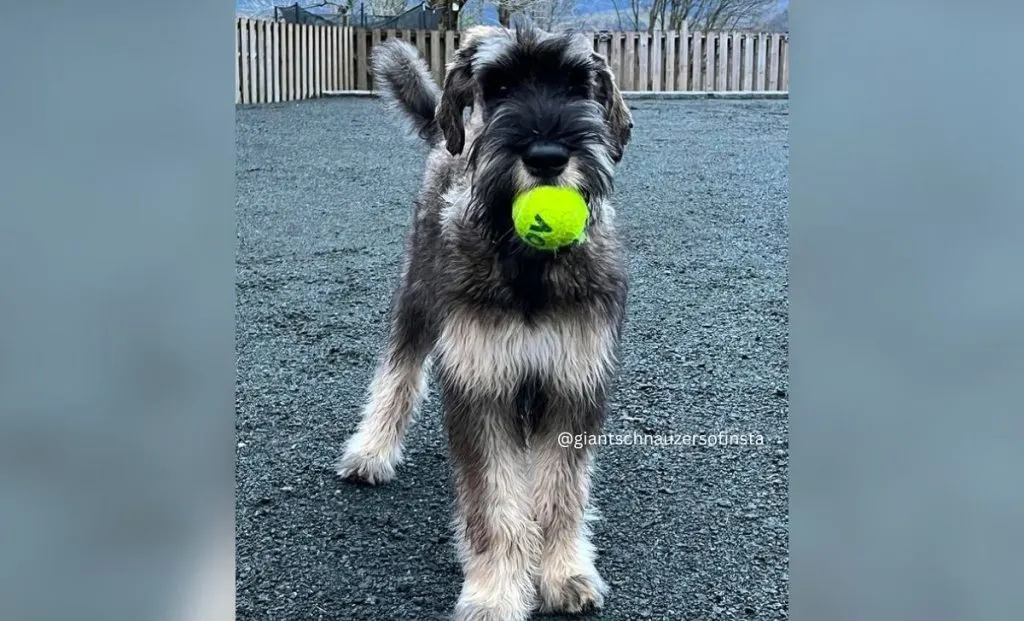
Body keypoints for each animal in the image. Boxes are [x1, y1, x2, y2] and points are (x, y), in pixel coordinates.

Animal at [337, 25, 630, 621]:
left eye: (578, 85)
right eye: (498, 86)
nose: (547, 157)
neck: (529, 266)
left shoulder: (574, 383)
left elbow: (562, 491)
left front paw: (564, 572)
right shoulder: (482, 385)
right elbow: (495, 504)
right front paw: (495, 593)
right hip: (419, 297)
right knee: (398, 371)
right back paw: (371, 450)